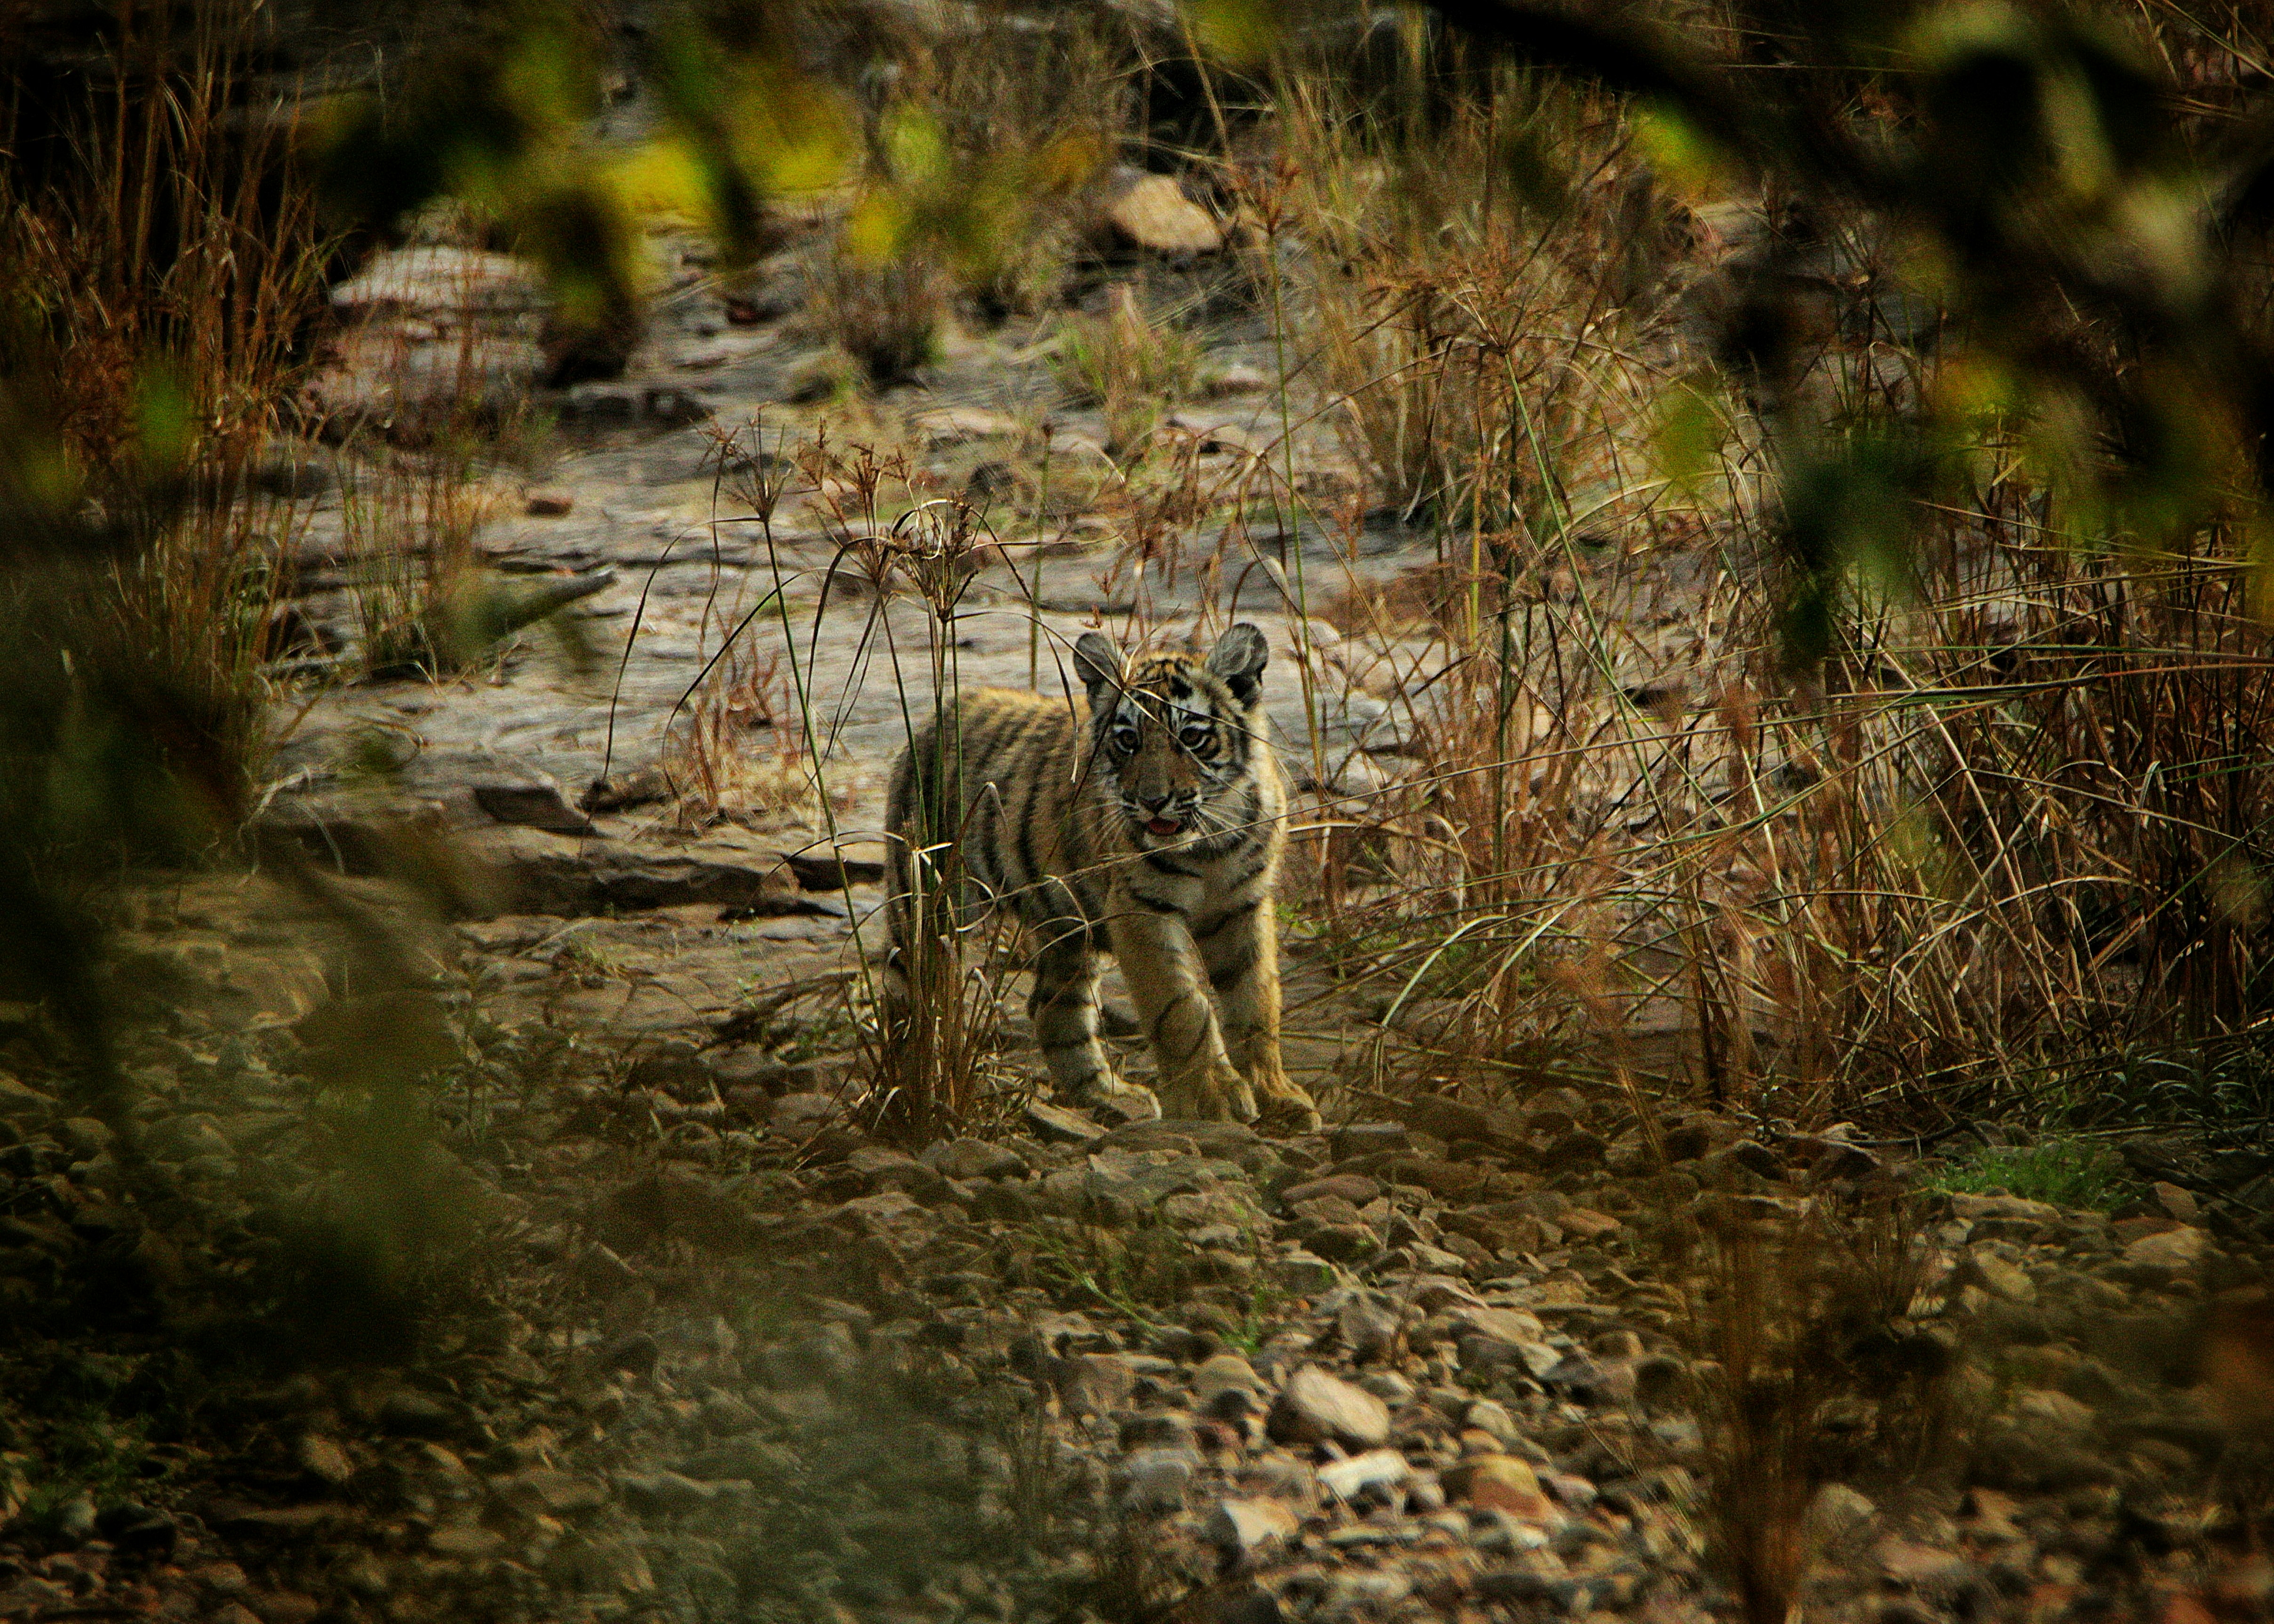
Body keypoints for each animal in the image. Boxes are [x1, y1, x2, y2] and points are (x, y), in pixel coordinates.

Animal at [880, 622, 1321, 1131]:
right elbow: (1182, 1006)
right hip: (930, 902)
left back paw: (1109, 1095)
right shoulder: (1140, 909)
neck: (1212, 840)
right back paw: (904, 1088)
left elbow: (1256, 1002)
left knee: (1054, 1008)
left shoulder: (1243, 905)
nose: (1153, 800)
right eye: (1127, 740)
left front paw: (1276, 1095)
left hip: (1069, 927)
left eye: (1192, 737)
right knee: (908, 992)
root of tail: (940, 713)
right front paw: (1213, 1100)